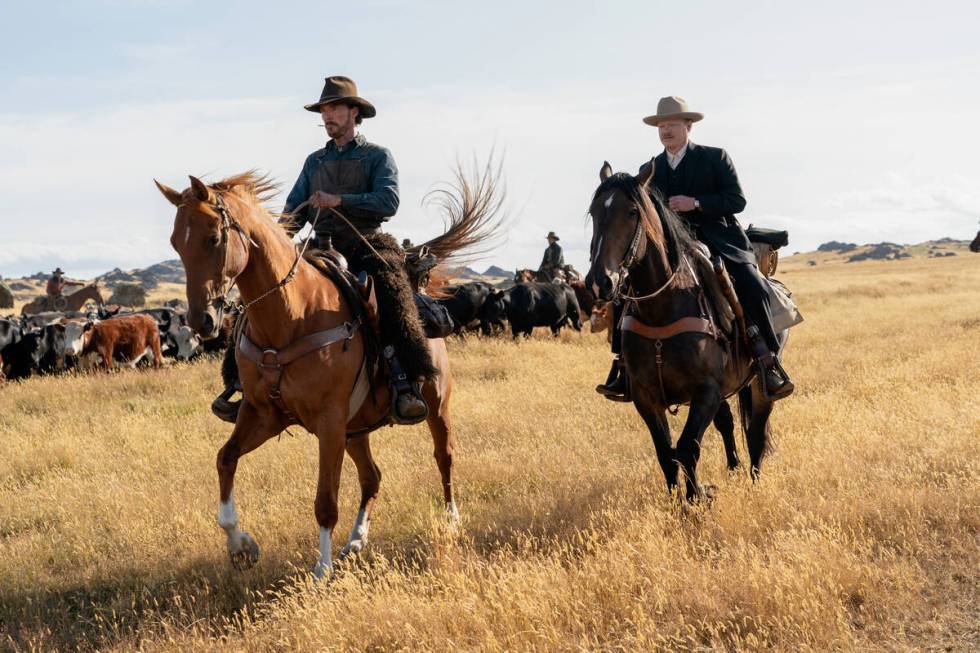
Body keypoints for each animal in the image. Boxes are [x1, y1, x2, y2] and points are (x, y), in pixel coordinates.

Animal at [158, 168, 506, 576]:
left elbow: (325, 500)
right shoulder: (263, 414)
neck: (293, 314)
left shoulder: (328, 421)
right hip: (356, 429)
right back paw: (355, 542)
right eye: (176, 244)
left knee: (444, 456)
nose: (203, 321)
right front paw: (241, 545)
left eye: (213, 238)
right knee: (372, 476)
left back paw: (450, 520)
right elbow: (225, 460)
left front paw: (321, 570)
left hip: (435, 405)